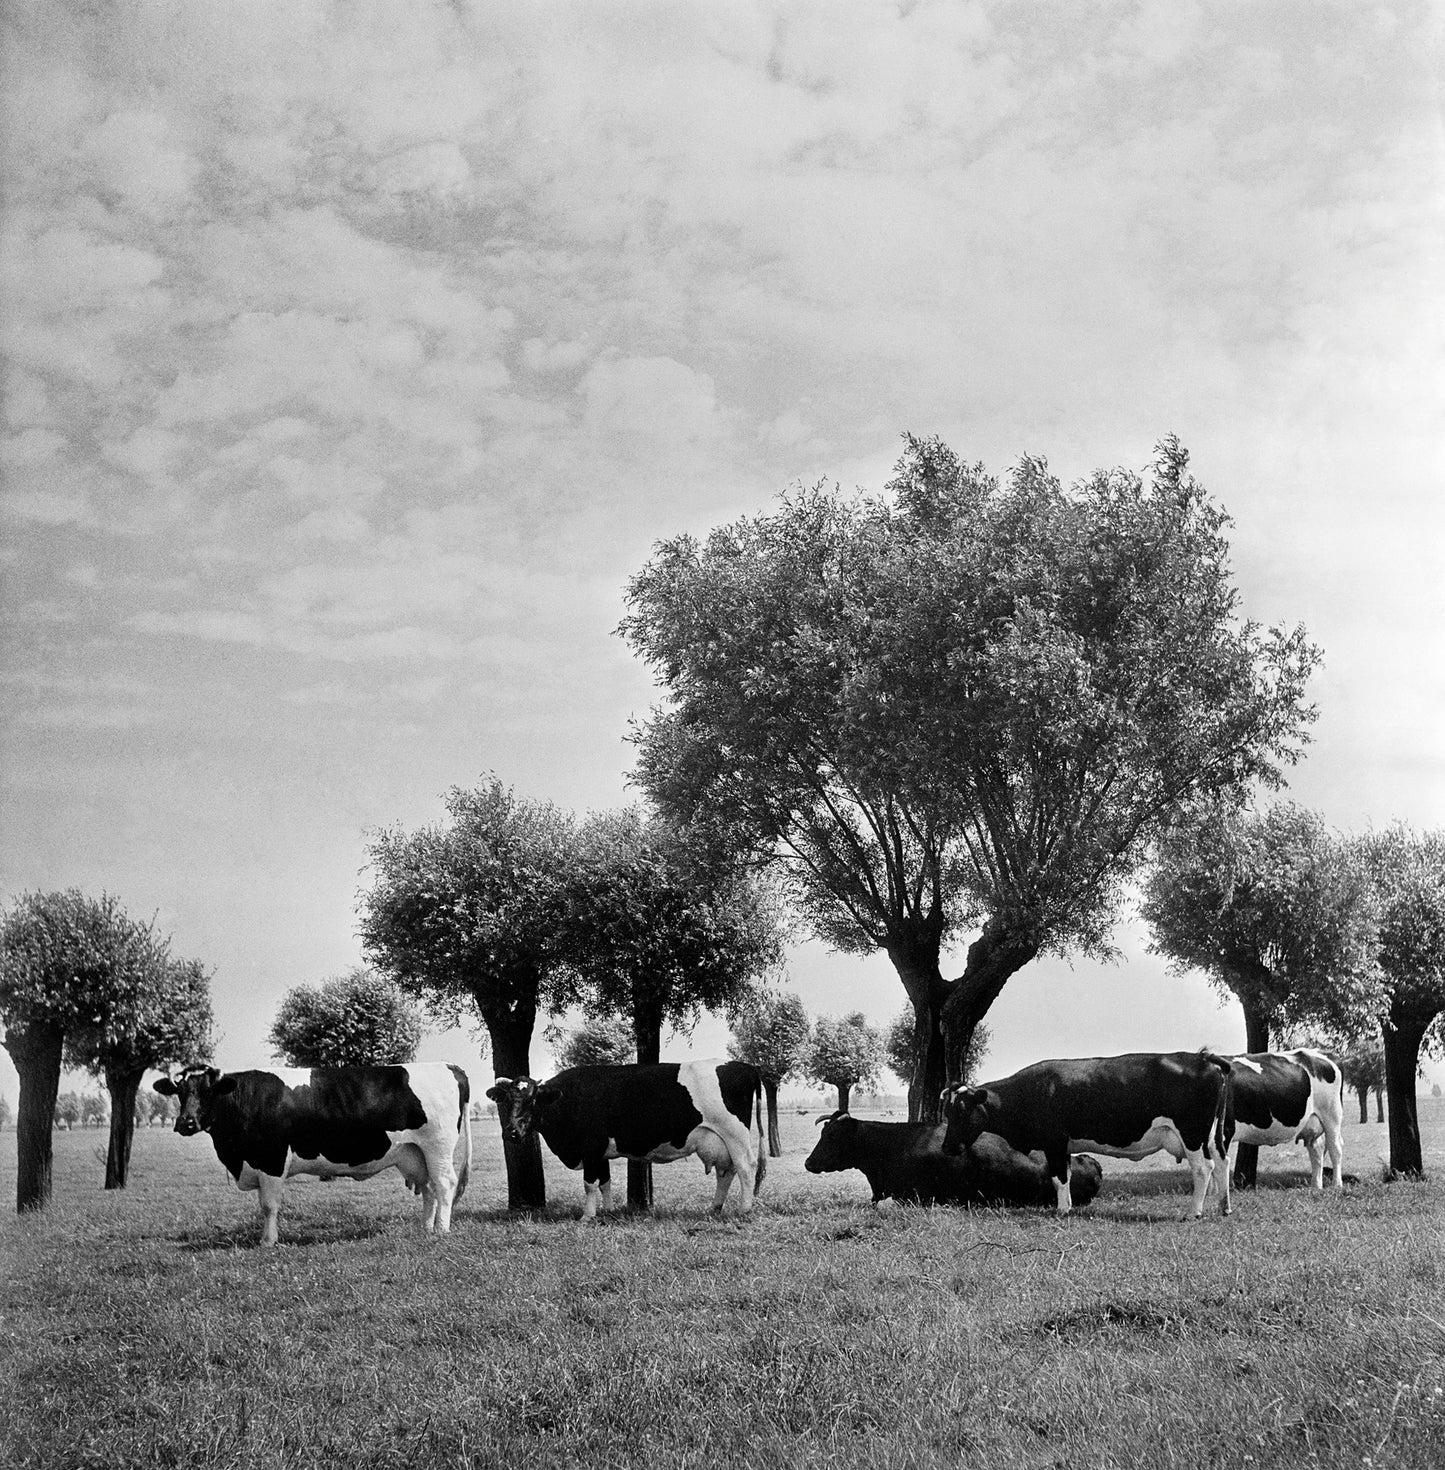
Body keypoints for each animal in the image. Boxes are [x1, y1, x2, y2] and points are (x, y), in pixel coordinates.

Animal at [153, 1064, 470, 1246]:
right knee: (428, 1188)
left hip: (438, 1145)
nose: (185, 1122)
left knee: (444, 1184)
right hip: (415, 1153)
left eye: (209, 1092)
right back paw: (426, 1228)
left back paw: (441, 1231)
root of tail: (450, 1066)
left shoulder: (271, 1160)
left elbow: (269, 1206)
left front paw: (268, 1242)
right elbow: (263, 1205)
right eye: (179, 1091)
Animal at [485, 1058, 770, 1217]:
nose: (511, 1132)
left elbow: (589, 1184)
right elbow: (605, 1182)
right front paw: (609, 1211)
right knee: (726, 1172)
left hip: (734, 1134)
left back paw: (743, 1209)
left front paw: (587, 1216)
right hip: (718, 1140)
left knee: (746, 1167)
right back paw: (715, 1208)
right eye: (507, 1099)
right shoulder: (599, 1152)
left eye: (533, 1100)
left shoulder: (590, 1148)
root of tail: (742, 1065)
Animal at [940, 1052, 1234, 1223]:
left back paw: (1193, 1212)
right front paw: (1068, 1206)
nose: (946, 1147)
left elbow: (1058, 1177)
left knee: (1203, 1168)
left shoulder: (1054, 1141)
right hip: (1212, 1136)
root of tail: (1203, 1058)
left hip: (1192, 1133)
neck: (1029, 1092)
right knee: (1222, 1162)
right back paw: (1224, 1207)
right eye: (948, 1110)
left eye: (961, 1111)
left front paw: (1061, 1211)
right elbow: (1067, 1176)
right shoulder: (1064, 1146)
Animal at [1228, 1052, 1352, 1187]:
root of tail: (1326, 1054)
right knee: (1317, 1150)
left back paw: (1337, 1185)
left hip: (1332, 1115)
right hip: (1313, 1121)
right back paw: (1316, 1186)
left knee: (1335, 1148)